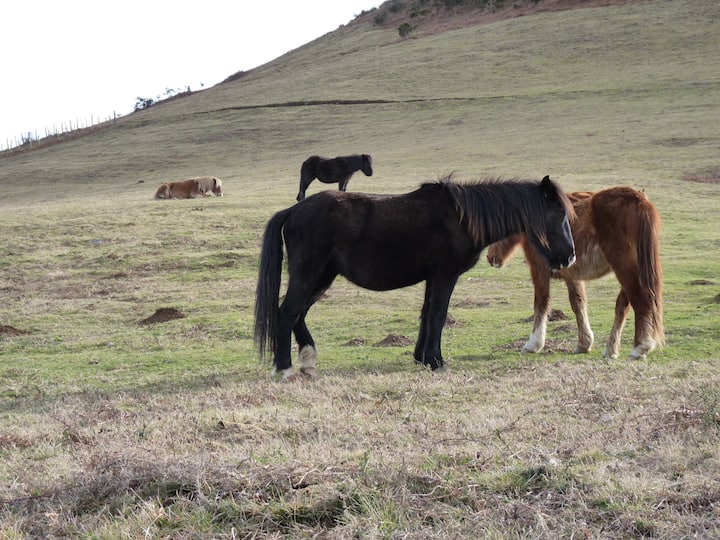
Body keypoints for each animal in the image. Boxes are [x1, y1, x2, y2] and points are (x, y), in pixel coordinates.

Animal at [255, 175, 576, 379]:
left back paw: (308, 360)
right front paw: (435, 360)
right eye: (558, 214)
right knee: (288, 312)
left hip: (323, 276)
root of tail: (293, 210)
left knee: (298, 313)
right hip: (309, 274)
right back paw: (284, 368)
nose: (570, 257)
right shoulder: (445, 275)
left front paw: (422, 356)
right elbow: (438, 314)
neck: (460, 218)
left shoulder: (433, 278)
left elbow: (427, 314)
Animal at [486, 187, 663, 360]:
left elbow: (541, 303)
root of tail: (639, 199)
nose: (490, 258)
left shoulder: (539, 270)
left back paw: (641, 347)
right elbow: (578, 304)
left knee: (641, 299)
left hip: (624, 268)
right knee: (623, 305)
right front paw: (584, 344)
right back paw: (611, 349)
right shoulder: (572, 276)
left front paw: (533, 345)